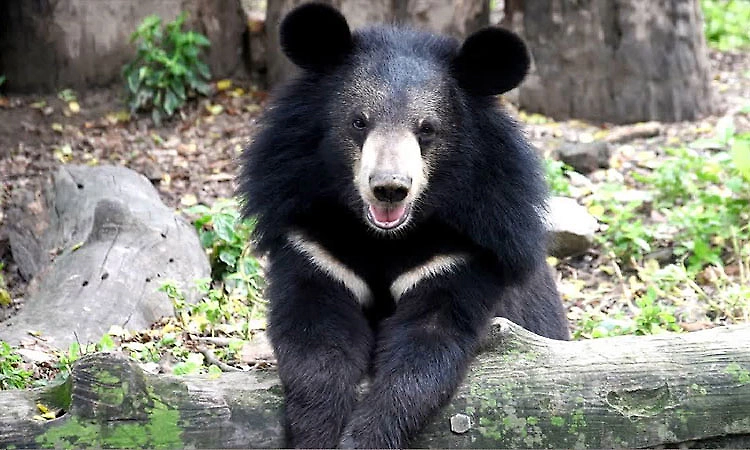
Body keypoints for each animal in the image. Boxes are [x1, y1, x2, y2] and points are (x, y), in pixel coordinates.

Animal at [239, 3, 569, 448]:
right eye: (359, 122)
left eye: (427, 129)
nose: (389, 188)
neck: (386, 238)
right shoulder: (314, 243)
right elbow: (315, 340)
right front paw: (320, 432)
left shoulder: (462, 252)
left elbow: (425, 351)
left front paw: (363, 438)